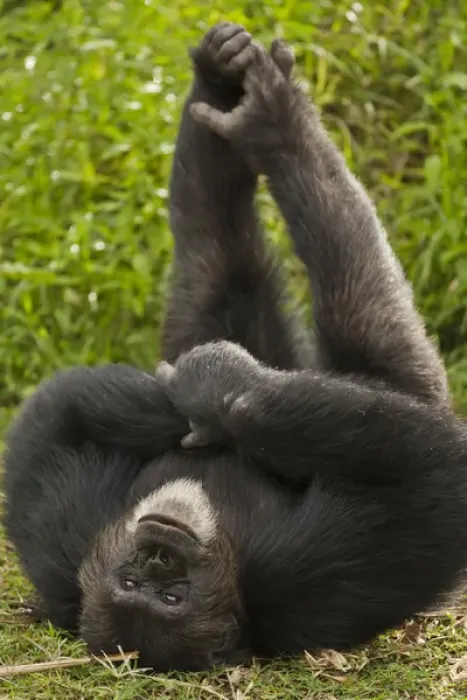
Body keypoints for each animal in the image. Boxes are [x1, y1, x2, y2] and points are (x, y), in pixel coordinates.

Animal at [3, 23, 467, 673]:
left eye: (166, 588)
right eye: (149, 591)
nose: (158, 553)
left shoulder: (60, 518)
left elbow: (58, 413)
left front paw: (184, 403)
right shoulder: (325, 573)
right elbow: (433, 473)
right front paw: (209, 389)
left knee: (218, 242)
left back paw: (225, 84)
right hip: (375, 367)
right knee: (306, 275)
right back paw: (273, 123)